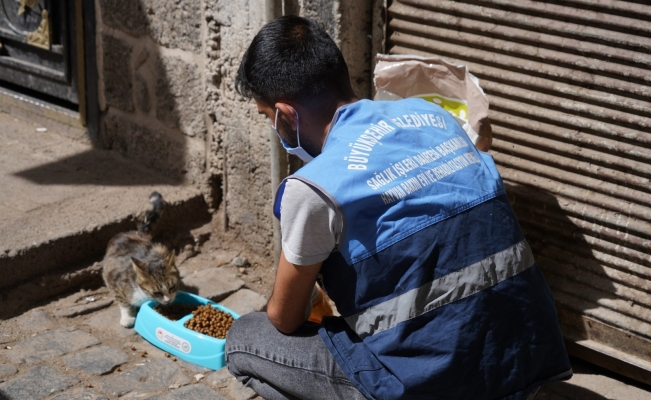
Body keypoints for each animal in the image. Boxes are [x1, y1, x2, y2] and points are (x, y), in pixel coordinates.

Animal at [101, 191, 181, 328]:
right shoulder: (113, 280)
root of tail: (134, 233)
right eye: (157, 292)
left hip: (160, 247)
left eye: (172, 287)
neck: (144, 295)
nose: (168, 300)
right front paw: (127, 317)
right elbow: (122, 302)